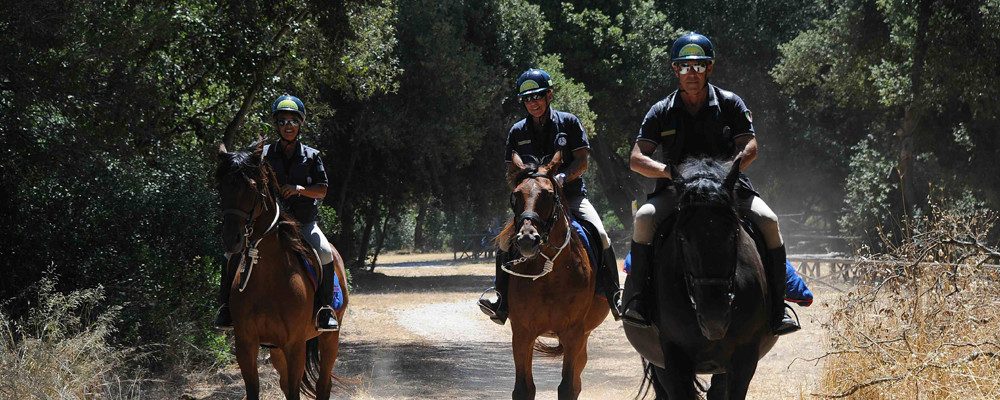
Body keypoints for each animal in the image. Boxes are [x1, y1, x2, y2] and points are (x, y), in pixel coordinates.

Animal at [214, 142, 348, 398]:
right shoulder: (246, 343)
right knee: (285, 384)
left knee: (323, 384)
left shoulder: (294, 344)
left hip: (330, 338)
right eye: (221, 187)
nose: (230, 239)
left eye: (251, 187)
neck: (267, 277)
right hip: (276, 350)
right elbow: (255, 390)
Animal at [500, 151, 608, 400]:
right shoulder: (522, 333)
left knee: (577, 380)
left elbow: (567, 388)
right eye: (516, 194)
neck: (549, 274)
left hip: (583, 337)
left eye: (548, 194)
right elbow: (524, 389)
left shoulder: (573, 334)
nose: (527, 239)